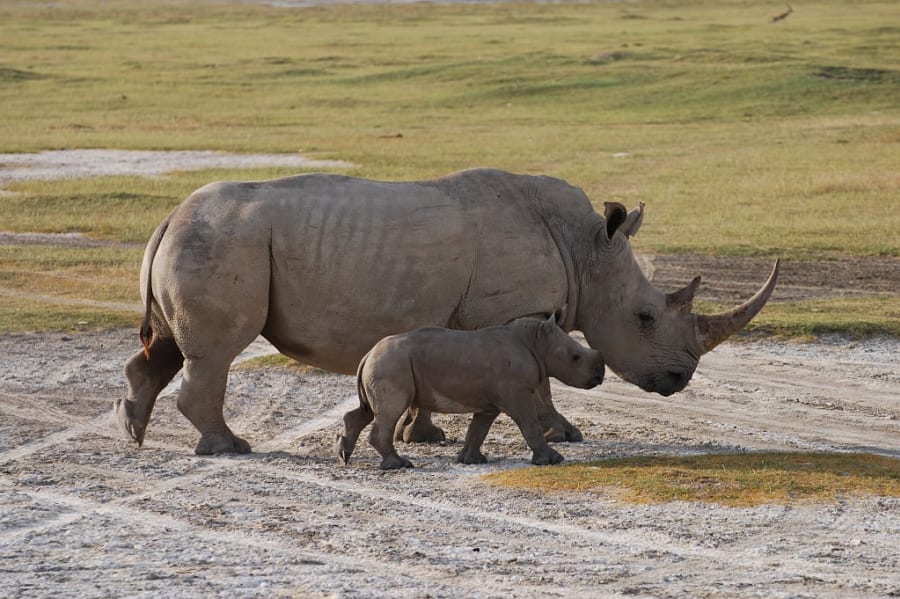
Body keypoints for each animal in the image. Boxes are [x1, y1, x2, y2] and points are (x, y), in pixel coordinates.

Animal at [119, 169, 780, 454]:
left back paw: (135, 432)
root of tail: (167, 216)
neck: (587, 248)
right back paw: (229, 447)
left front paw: (426, 436)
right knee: (214, 354)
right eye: (645, 316)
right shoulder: (523, 311)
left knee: (171, 347)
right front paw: (563, 435)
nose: (679, 379)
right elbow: (541, 383)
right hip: (221, 242)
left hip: (205, 241)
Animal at [336, 312, 604, 472]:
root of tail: (367, 355)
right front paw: (553, 460)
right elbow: (530, 426)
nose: (599, 377)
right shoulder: (517, 394)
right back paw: (399, 465)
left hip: (386, 364)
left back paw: (344, 456)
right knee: (389, 412)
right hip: (391, 365)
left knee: (369, 411)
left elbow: (478, 429)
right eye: (575, 357)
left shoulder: (492, 401)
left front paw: (471, 460)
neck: (537, 342)